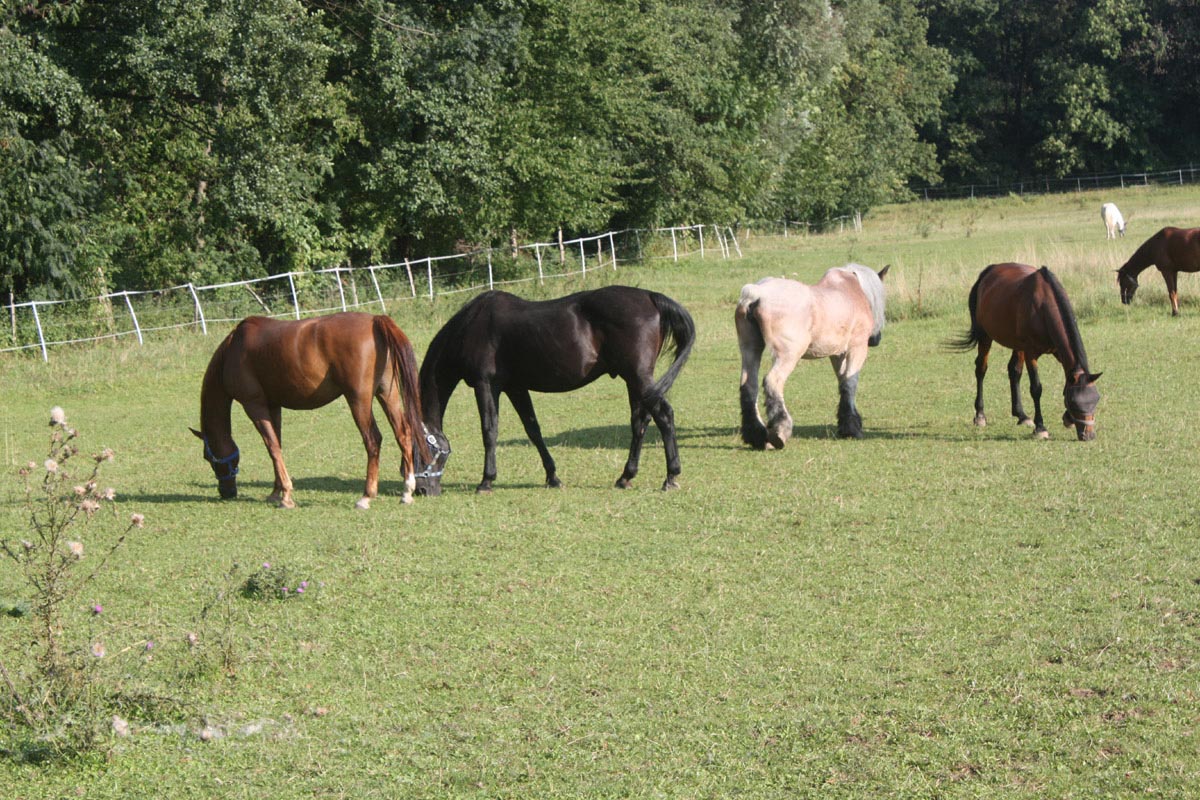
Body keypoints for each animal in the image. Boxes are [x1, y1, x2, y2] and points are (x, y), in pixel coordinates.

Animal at [189, 311, 429, 506]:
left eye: (208, 457)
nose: (226, 492)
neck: (233, 349)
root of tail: (374, 320)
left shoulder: (254, 405)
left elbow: (271, 447)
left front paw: (286, 495)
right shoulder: (273, 406)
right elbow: (277, 445)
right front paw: (276, 492)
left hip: (358, 400)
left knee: (373, 440)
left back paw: (366, 496)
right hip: (387, 393)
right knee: (403, 434)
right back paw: (406, 492)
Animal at [417, 284, 696, 491]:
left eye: (420, 453)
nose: (422, 489)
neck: (471, 326)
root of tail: (650, 297)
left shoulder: (485, 385)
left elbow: (489, 431)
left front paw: (486, 481)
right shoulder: (515, 388)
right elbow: (533, 430)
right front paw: (552, 477)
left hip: (639, 378)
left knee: (663, 416)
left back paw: (670, 477)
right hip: (635, 381)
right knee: (640, 422)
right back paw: (625, 477)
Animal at [729, 263, 892, 448]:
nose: (876, 339)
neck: (852, 290)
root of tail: (756, 293)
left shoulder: (837, 354)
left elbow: (843, 384)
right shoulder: (856, 349)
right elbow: (850, 384)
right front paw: (852, 429)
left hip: (751, 349)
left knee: (749, 385)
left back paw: (755, 435)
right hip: (788, 355)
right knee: (773, 382)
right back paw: (780, 431)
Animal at [950, 263, 1099, 441]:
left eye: (1095, 400)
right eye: (1075, 403)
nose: (1088, 435)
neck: (1043, 306)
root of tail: (990, 270)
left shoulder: (1057, 351)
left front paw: (1067, 418)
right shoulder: (1030, 353)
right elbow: (1036, 388)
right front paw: (1040, 428)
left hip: (1017, 345)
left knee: (1014, 371)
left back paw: (1021, 415)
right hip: (985, 336)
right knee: (981, 369)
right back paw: (980, 415)